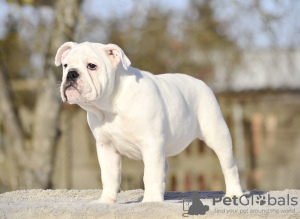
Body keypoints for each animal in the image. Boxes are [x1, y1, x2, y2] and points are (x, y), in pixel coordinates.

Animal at [54, 41, 244, 204]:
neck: (109, 106)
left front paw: (151, 201)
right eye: (65, 65)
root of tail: (202, 83)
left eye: (92, 66)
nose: (71, 73)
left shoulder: (151, 144)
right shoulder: (106, 147)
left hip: (217, 134)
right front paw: (106, 201)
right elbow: (109, 176)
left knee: (229, 165)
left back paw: (234, 193)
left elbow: (150, 174)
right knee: (164, 166)